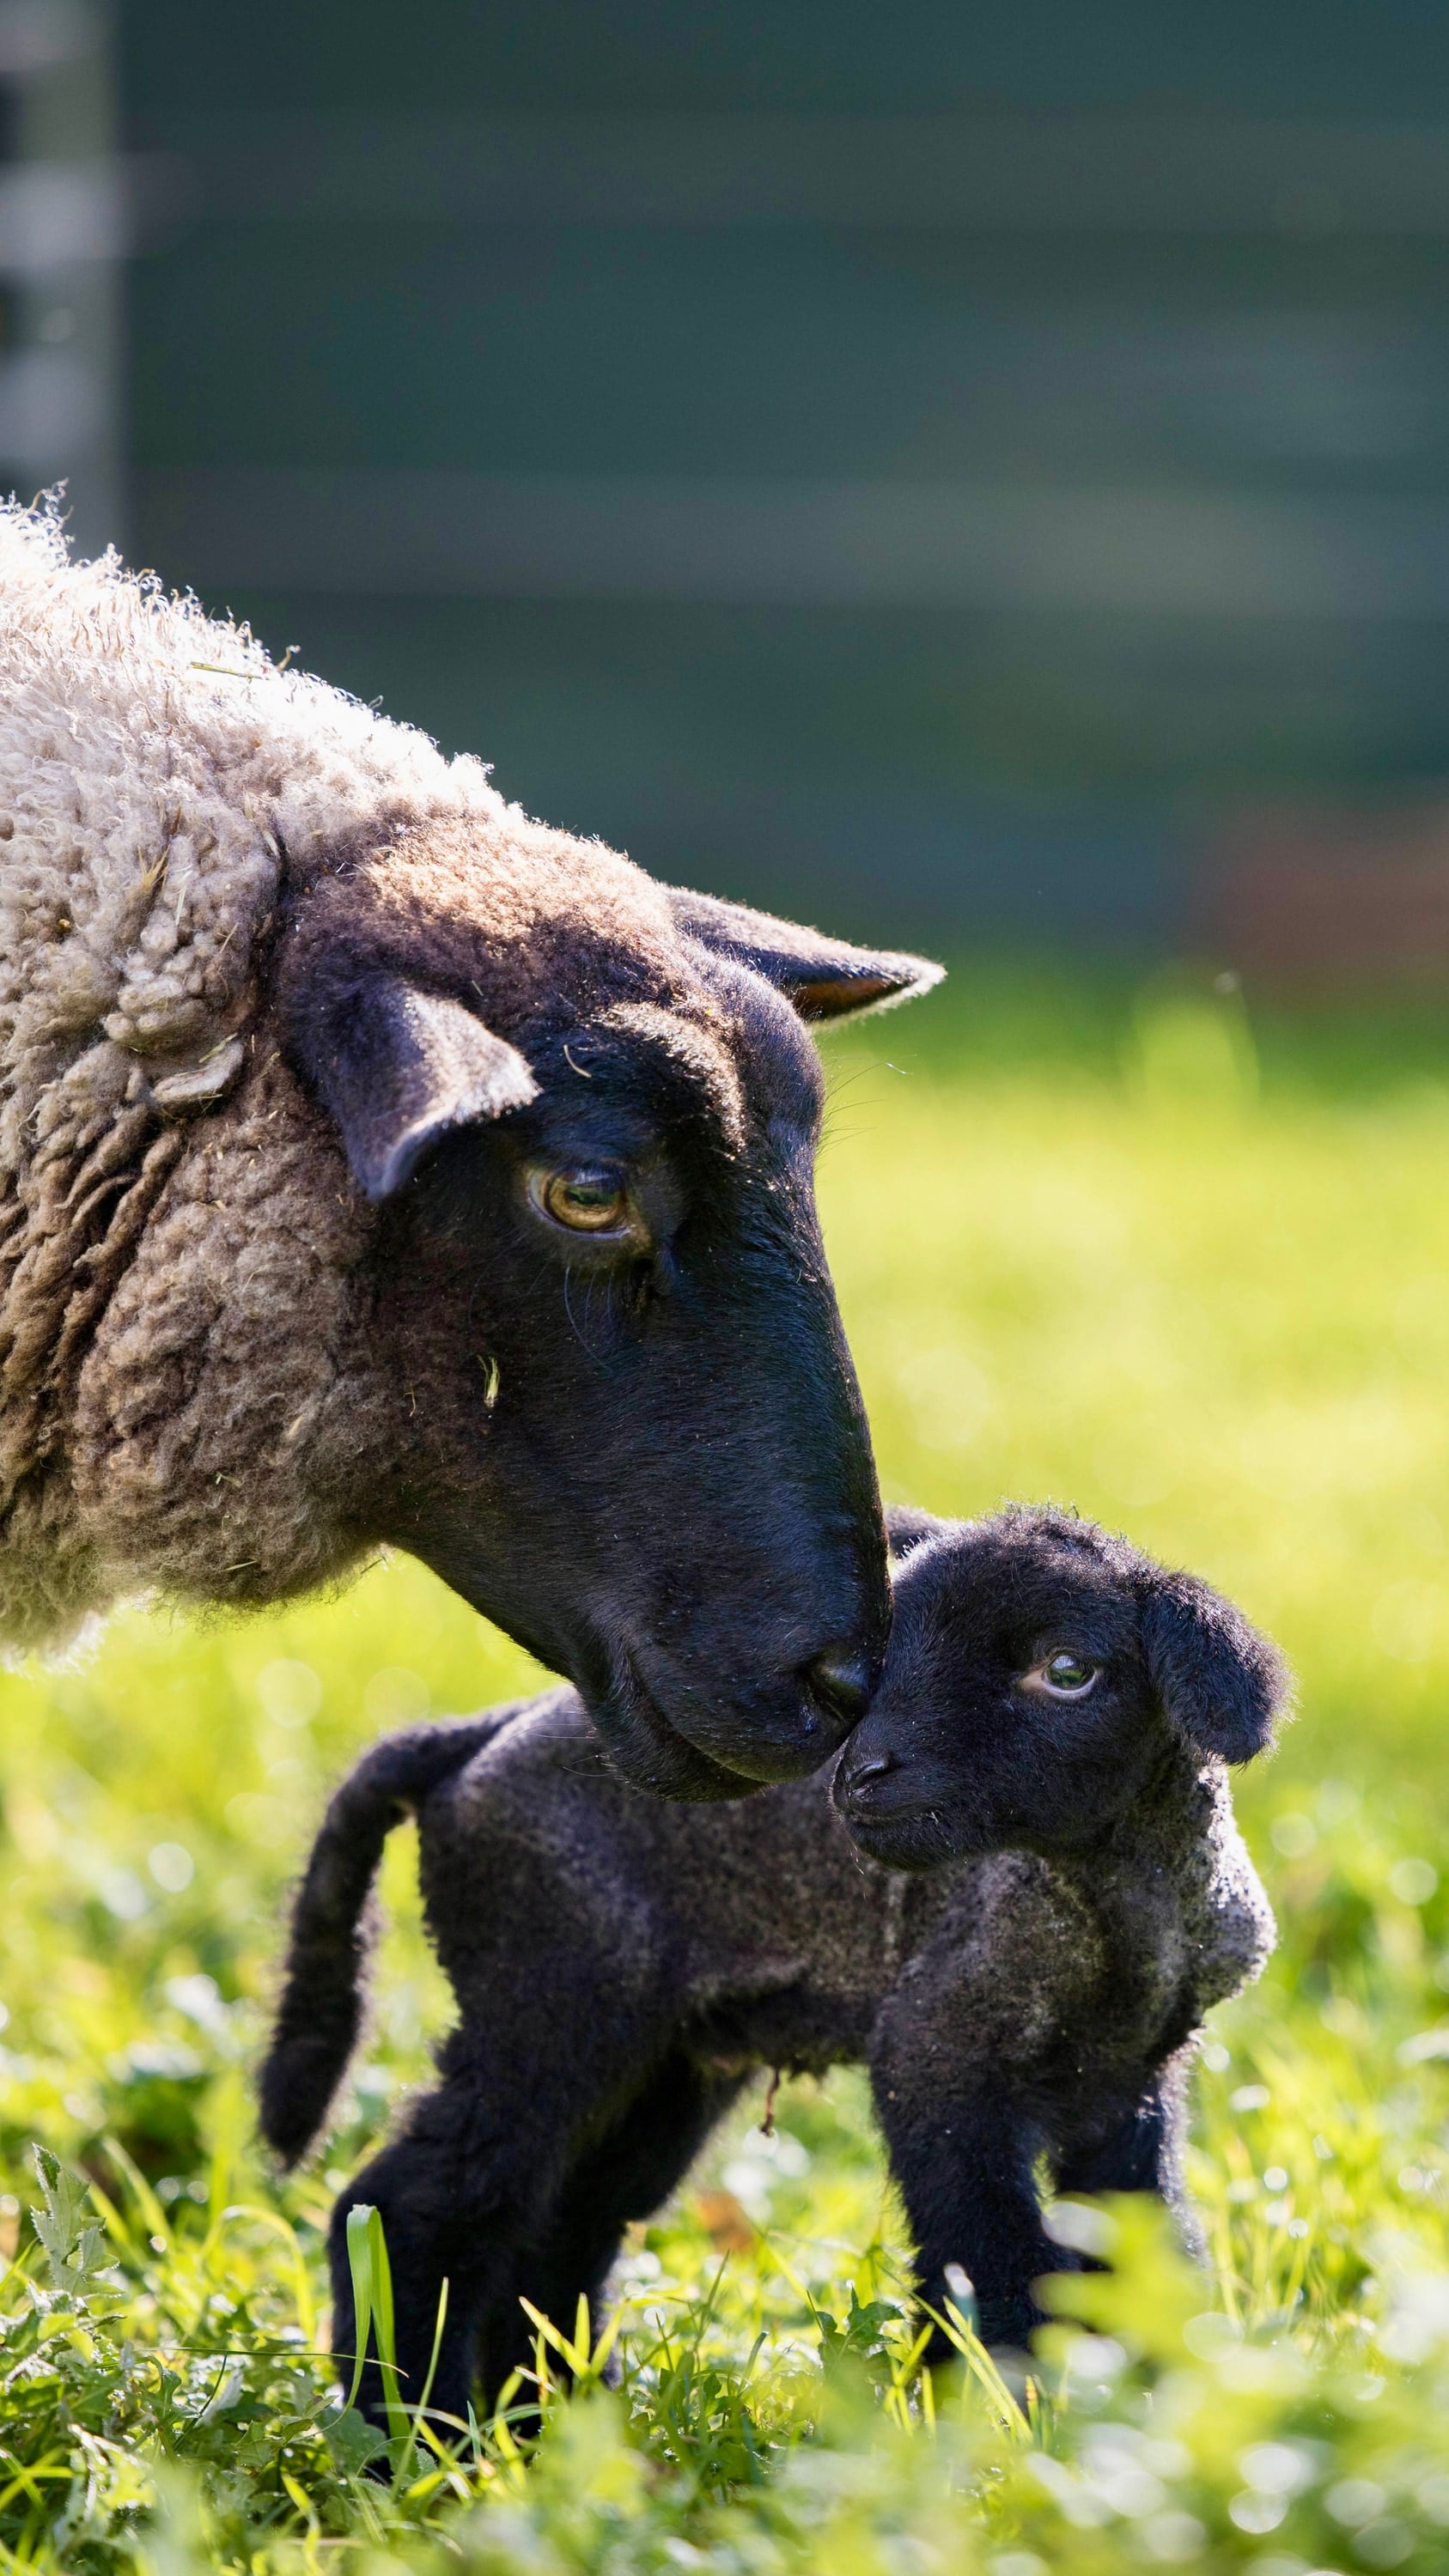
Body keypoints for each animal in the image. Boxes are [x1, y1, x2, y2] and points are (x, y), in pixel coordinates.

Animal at [259, 1504, 1286, 2430]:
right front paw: (1001, 2425)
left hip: (663, 2065)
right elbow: (985, 2260)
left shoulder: (1129, 2081)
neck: (1120, 1901)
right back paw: (412, 2440)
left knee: (558, 2236)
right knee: (407, 2208)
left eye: (1067, 1671)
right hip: (545, 2004)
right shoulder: (940, 2050)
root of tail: (480, 1733)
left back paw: (559, 2428)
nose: (863, 1773)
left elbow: (1145, 2248)